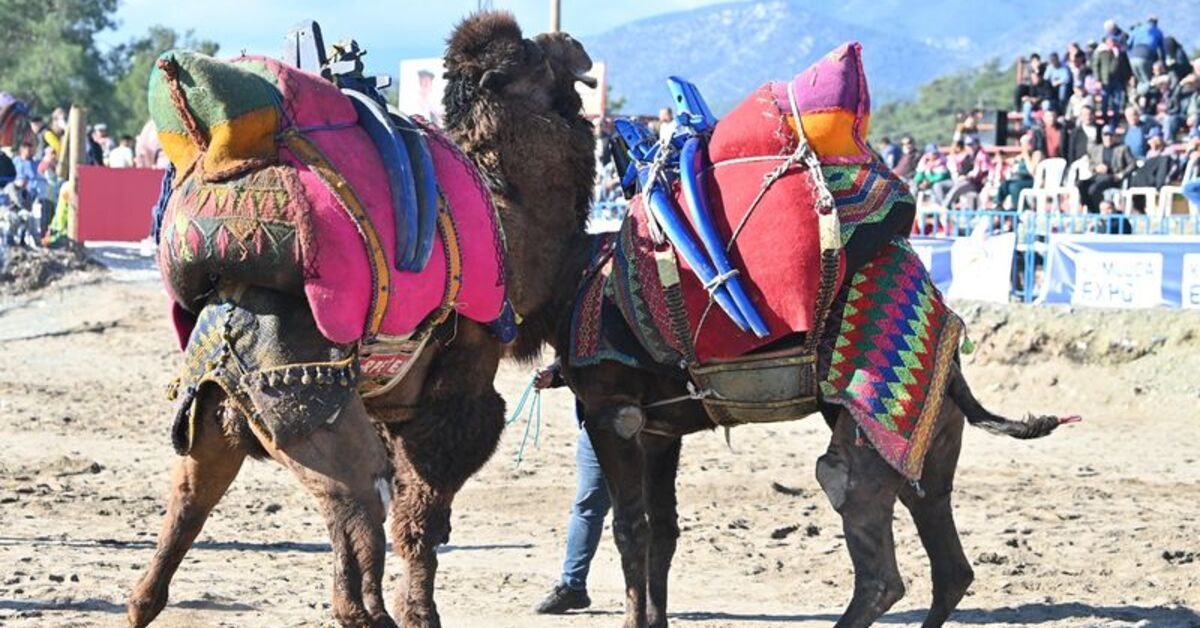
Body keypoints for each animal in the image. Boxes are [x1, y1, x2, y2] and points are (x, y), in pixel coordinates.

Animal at [126, 12, 600, 624]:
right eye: (529, 55)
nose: (574, 42)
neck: (509, 220)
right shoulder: (457, 392)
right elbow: (422, 514)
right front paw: (421, 612)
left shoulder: (394, 406)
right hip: (315, 422)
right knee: (355, 521)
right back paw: (372, 612)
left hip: (212, 421)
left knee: (182, 520)